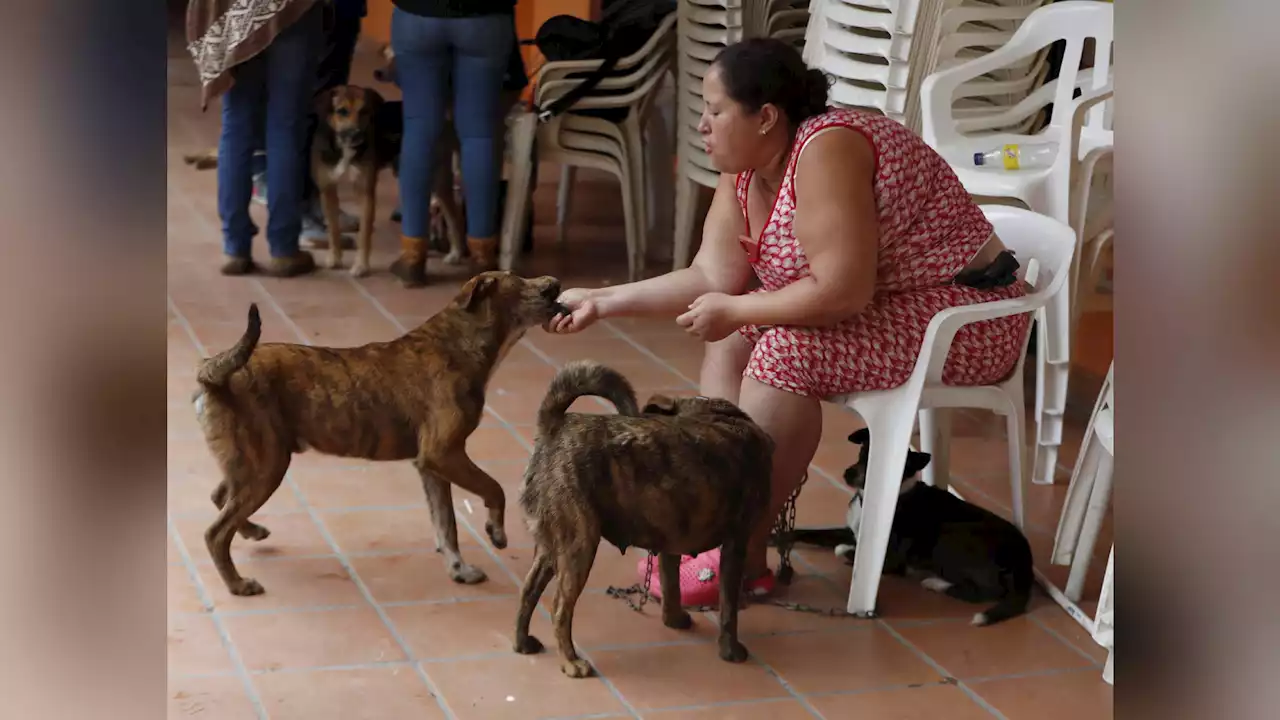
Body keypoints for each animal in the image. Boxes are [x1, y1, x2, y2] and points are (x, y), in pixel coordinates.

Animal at [193, 270, 565, 594]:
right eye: (519, 280)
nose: (556, 282)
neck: (460, 339)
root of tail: (213, 373)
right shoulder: (444, 453)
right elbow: (494, 489)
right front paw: (496, 532)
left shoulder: (431, 466)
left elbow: (446, 524)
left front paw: (458, 568)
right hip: (267, 466)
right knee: (216, 532)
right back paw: (237, 584)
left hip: (252, 460)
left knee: (219, 497)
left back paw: (251, 531)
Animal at [514, 361, 773, 676]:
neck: (716, 415)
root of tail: (554, 427)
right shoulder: (736, 544)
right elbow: (729, 609)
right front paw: (730, 650)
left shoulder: (672, 539)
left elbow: (671, 585)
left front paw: (674, 620)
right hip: (579, 547)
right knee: (561, 608)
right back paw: (571, 661)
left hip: (551, 547)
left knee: (528, 590)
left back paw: (523, 641)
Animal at [793, 425, 1034, 622]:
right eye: (861, 453)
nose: (847, 473)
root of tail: (1023, 552)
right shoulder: (850, 530)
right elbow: (810, 533)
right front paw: (785, 537)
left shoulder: (891, 558)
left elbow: (842, 550)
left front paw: (846, 554)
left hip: (948, 538)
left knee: (989, 591)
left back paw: (936, 584)